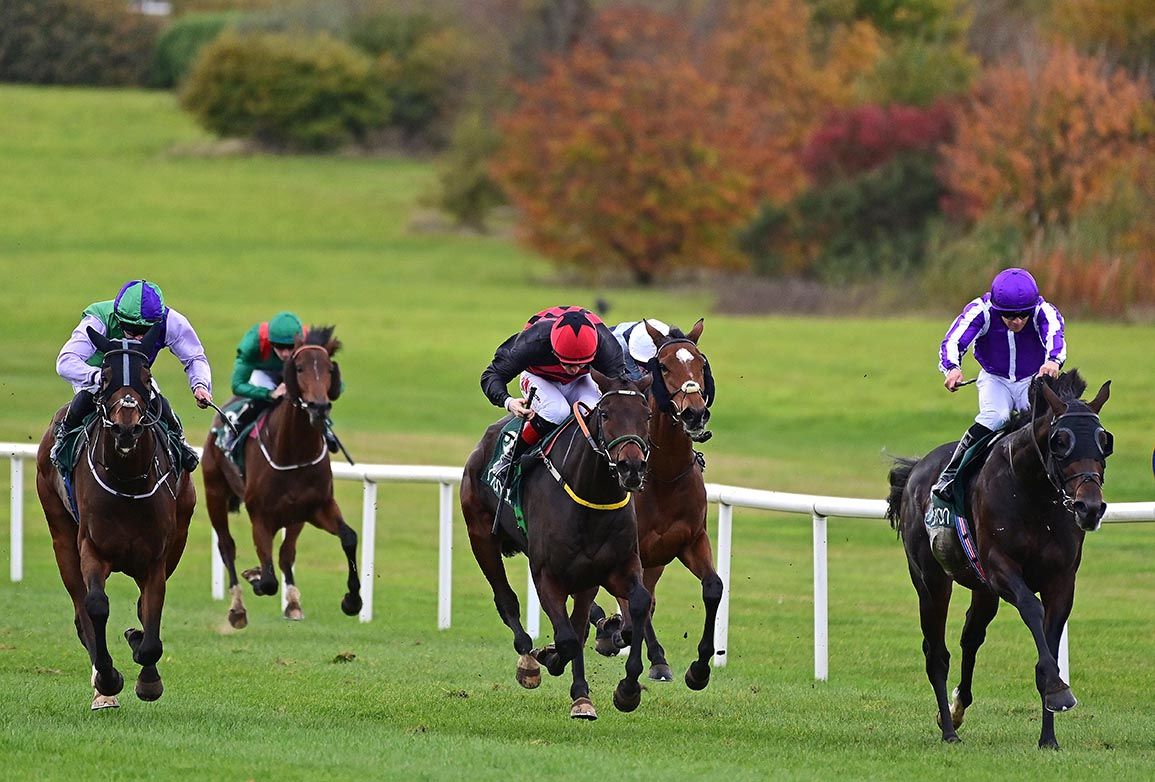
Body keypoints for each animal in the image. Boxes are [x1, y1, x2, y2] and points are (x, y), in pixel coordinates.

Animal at [34, 323, 195, 706]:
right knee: (81, 612)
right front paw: (108, 679)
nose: (126, 427)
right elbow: (96, 606)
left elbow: (150, 613)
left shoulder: (157, 556)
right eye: (105, 376)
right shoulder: (91, 547)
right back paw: (101, 689)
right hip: (61, 536)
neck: (127, 482)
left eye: (146, 377)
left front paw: (147, 675)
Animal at [200, 325, 358, 623]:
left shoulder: (313, 508)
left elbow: (347, 538)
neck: (293, 453)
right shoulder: (260, 516)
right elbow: (269, 579)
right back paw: (237, 607)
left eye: (329, 368)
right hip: (214, 491)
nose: (319, 407)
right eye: (299, 368)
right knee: (226, 546)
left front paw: (352, 600)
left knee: (284, 554)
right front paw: (256, 577)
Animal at [462, 371, 660, 720]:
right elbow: (566, 638)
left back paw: (582, 695)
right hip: (481, 536)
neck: (592, 496)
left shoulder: (614, 567)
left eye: (646, 415)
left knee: (579, 623)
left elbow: (635, 606)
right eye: (604, 414)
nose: (631, 467)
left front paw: (627, 689)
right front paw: (548, 656)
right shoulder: (546, 575)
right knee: (506, 600)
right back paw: (529, 659)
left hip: (583, 577)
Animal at [591, 316, 716, 683]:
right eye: (664, 365)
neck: (664, 478)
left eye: (700, 363)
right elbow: (636, 606)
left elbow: (713, 588)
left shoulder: (691, 540)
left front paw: (699, 669)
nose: (694, 414)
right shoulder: (631, 552)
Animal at [887, 369, 1113, 748]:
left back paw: (957, 708)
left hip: (982, 591)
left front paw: (1049, 736)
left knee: (971, 636)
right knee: (937, 654)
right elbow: (1033, 609)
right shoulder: (1000, 568)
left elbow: (1049, 643)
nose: (1090, 507)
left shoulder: (1061, 580)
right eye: (1060, 441)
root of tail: (917, 469)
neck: (1034, 495)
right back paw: (949, 730)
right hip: (931, 581)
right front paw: (1059, 690)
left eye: (1104, 441)